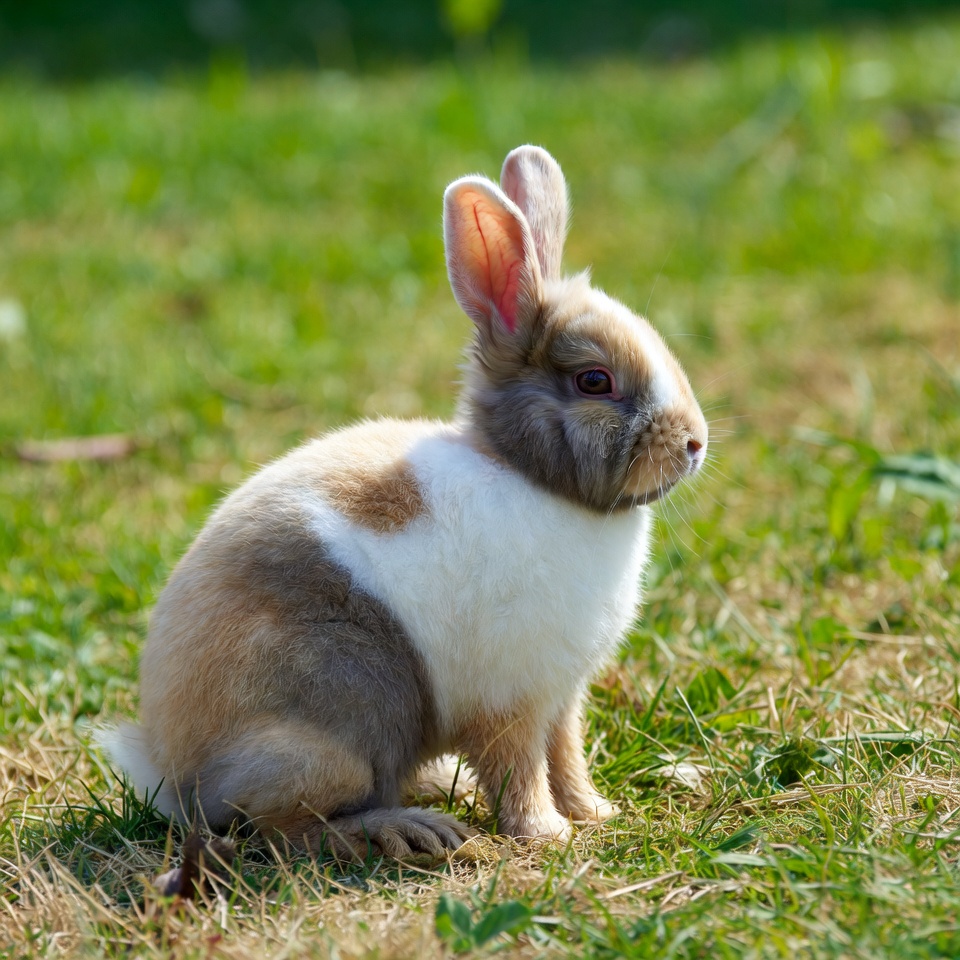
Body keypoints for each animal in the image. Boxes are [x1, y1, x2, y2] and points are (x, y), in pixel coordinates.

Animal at [100, 145, 708, 861]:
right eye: (595, 381)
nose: (695, 443)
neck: (530, 478)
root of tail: (172, 770)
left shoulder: (563, 697)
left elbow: (566, 756)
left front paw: (595, 813)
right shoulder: (512, 698)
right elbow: (521, 769)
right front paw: (546, 834)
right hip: (333, 728)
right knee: (285, 828)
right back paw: (410, 828)